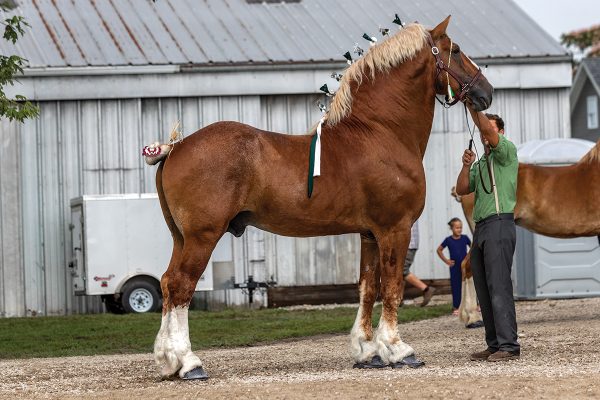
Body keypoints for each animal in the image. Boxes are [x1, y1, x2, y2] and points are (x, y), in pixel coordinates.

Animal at [145, 16, 492, 378]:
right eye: (456, 50)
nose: (486, 92)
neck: (381, 132)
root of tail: (175, 147)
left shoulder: (369, 234)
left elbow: (368, 288)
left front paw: (367, 351)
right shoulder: (395, 229)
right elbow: (393, 287)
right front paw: (397, 349)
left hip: (181, 238)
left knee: (168, 283)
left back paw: (167, 360)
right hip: (202, 236)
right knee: (182, 285)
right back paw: (188, 362)